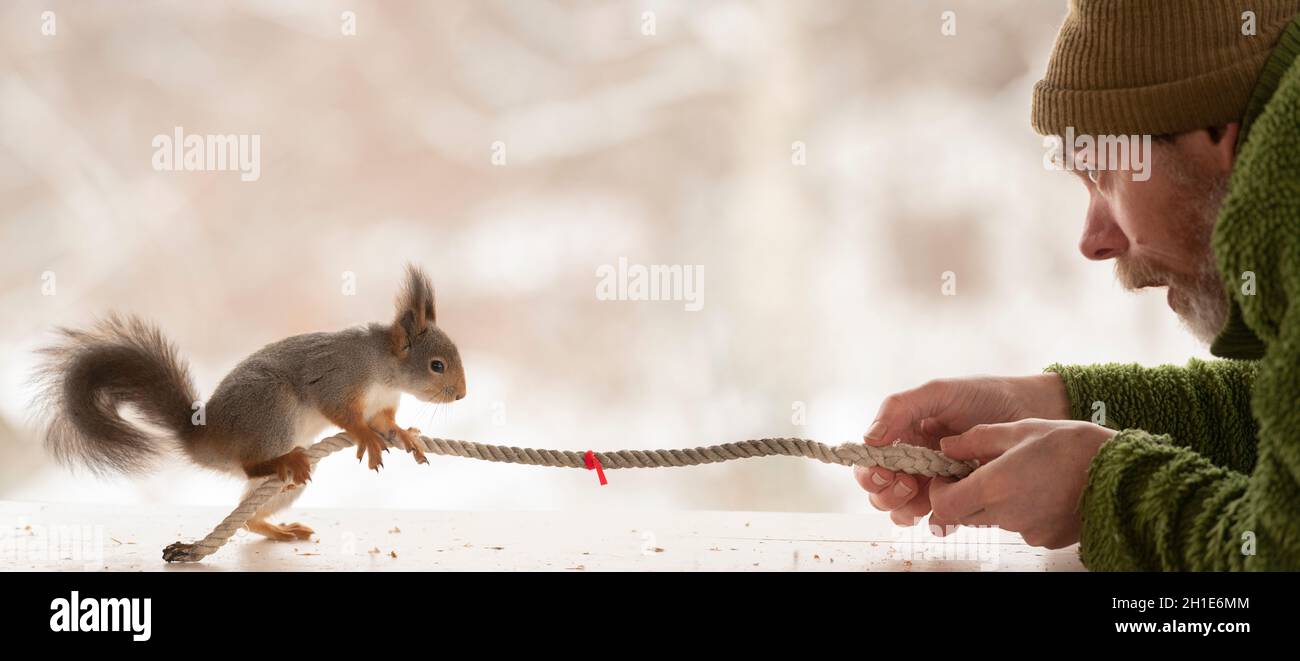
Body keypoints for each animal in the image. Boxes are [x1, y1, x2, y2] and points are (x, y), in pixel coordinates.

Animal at [32, 264, 467, 541]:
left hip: (279, 482)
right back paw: (285, 461)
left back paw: (276, 528)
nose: (462, 394)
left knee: (247, 515)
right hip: (271, 408)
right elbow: (344, 414)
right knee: (252, 463)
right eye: (437, 365)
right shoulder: (337, 379)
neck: (384, 370)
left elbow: (386, 422)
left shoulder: (382, 403)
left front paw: (405, 435)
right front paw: (364, 437)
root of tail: (205, 439)